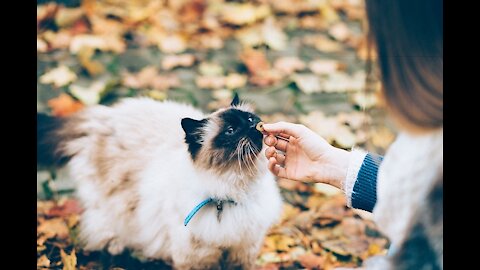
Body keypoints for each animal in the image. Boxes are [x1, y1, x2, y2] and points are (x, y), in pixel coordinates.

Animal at [39, 94, 284, 268]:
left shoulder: (243, 251)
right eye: (231, 131)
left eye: (250, 119)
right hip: (113, 208)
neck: (233, 191)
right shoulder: (197, 257)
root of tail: (103, 116)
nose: (254, 126)